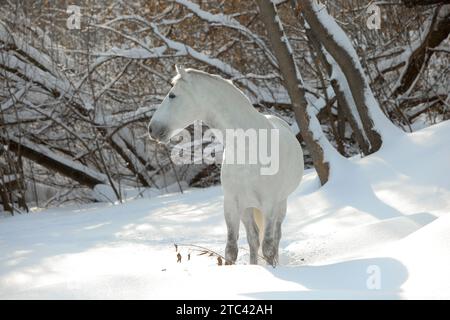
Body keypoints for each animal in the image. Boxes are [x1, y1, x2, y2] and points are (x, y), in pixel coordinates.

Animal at [149, 66, 304, 266]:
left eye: (172, 95)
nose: (151, 129)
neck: (248, 148)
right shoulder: (231, 203)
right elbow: (231, 250)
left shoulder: (269, 204)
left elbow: (269, 248)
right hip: (247, 208)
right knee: (253, 239)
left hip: (280, 204)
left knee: (275, 237)